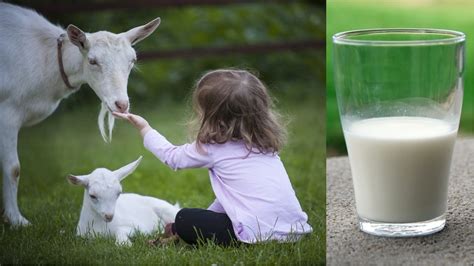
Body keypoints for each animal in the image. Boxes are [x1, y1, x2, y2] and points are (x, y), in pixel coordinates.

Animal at [0, 3, 161, 225]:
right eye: (92, 61)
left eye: (132, 60)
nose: (121, 104)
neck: (46, 58)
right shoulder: (7, 111)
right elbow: (13, 168)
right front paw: (17, 221)